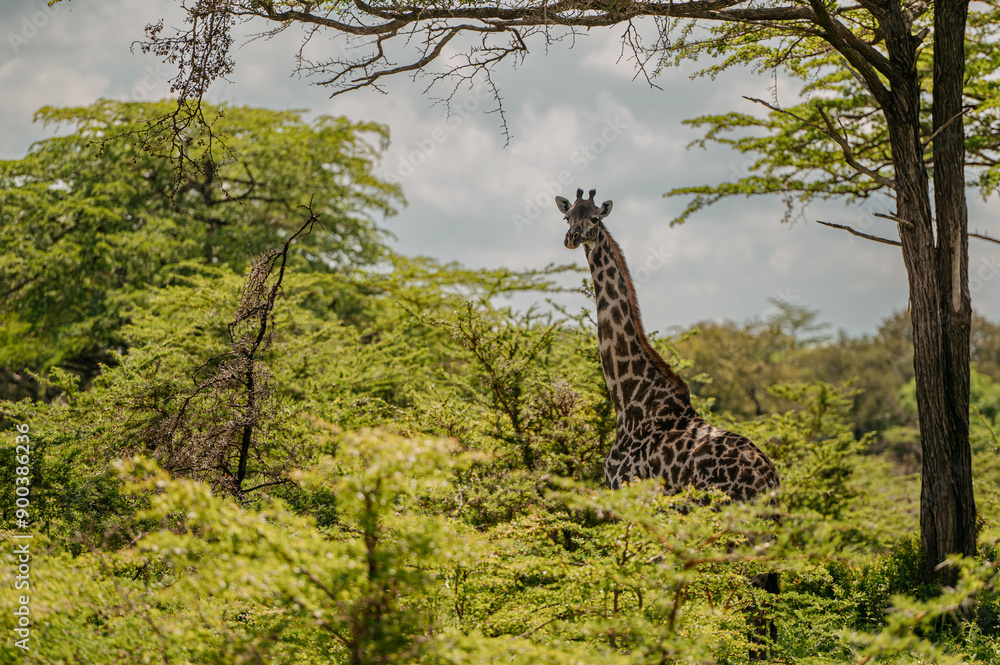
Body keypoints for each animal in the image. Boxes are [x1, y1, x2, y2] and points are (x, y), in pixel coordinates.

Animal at [556, 188, 780, 499]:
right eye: (567, 217)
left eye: (595, 218)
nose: (572, 238)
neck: (629, 402)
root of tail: (771, 481)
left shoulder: (628, 486)